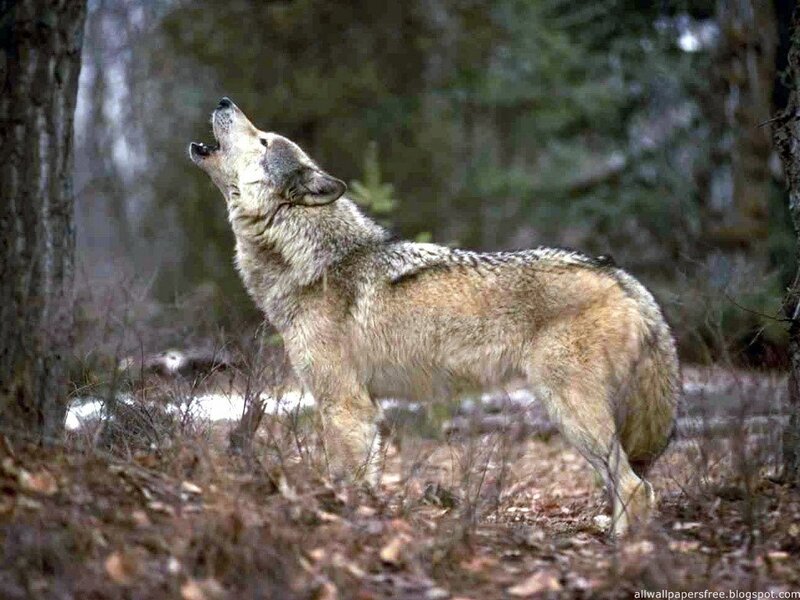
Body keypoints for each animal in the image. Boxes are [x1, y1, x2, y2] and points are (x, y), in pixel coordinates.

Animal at [190, 97, 679, 536]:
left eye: (263, 138)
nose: (224, 100)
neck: (313, 259)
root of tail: (622, 277)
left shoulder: (344, 406)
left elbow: (344, 480)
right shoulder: (366, 410)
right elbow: (367, 479)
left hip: (571, 412)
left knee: (637, 488)